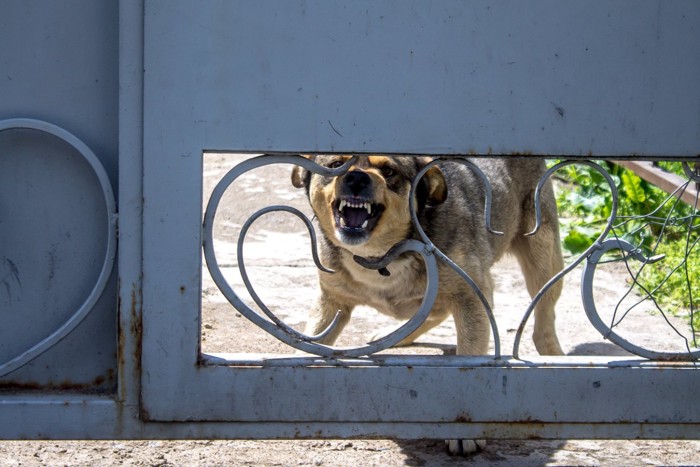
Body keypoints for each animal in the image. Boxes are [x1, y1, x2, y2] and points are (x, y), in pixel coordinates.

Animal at [290, 155, 564, 456]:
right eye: (335, 163)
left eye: (389, 170)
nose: (357, 178)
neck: (381, 257)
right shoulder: (331, 301)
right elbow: (310, 342)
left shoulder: (471, 297)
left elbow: (469, 357)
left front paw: (464, 433)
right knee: (434, 312)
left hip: (543, 257)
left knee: (543, 321)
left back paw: (555, 356)